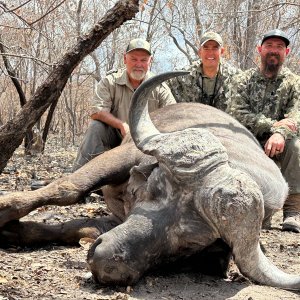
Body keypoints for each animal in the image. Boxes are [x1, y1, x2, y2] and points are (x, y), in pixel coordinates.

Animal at [0, 71, 298, 290]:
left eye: (188, 243)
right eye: (154, 190)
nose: (106, 262)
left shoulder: (116, 221)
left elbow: (74, 227)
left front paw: (17, 231)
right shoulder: (122, 156)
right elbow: (69, 188)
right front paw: (6, 210)